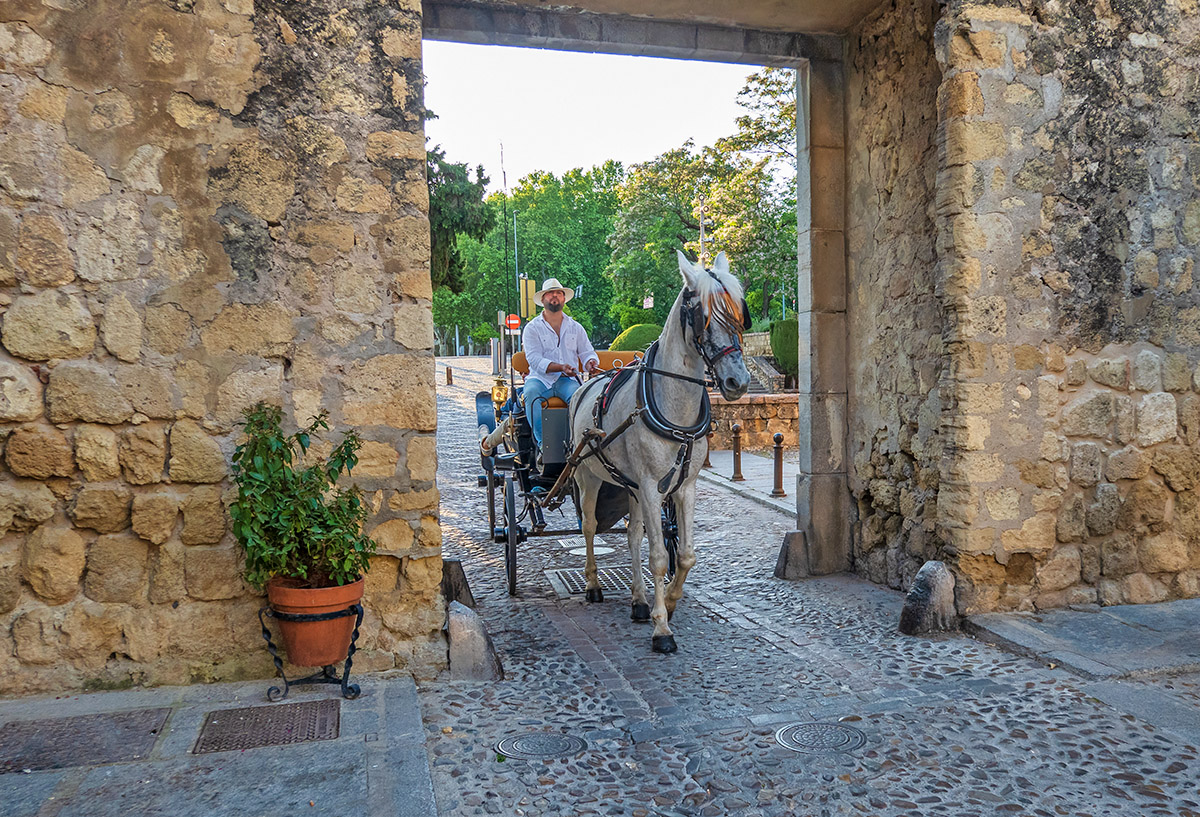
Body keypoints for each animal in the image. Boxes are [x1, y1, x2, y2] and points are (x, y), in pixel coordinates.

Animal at [564, 251, 748, 652]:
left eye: (740, 314)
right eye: (702, 315)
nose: (738, 381)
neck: (673, 405)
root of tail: (585, 383)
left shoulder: (684, 486)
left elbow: (686, 555)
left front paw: (671, 602)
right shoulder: (650, 486)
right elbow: (660, 557)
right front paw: (662, 628)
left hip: (630, 486)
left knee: (633, 533)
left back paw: (637, 600)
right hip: (588, 477)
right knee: (589, 526)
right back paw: (593, 583)